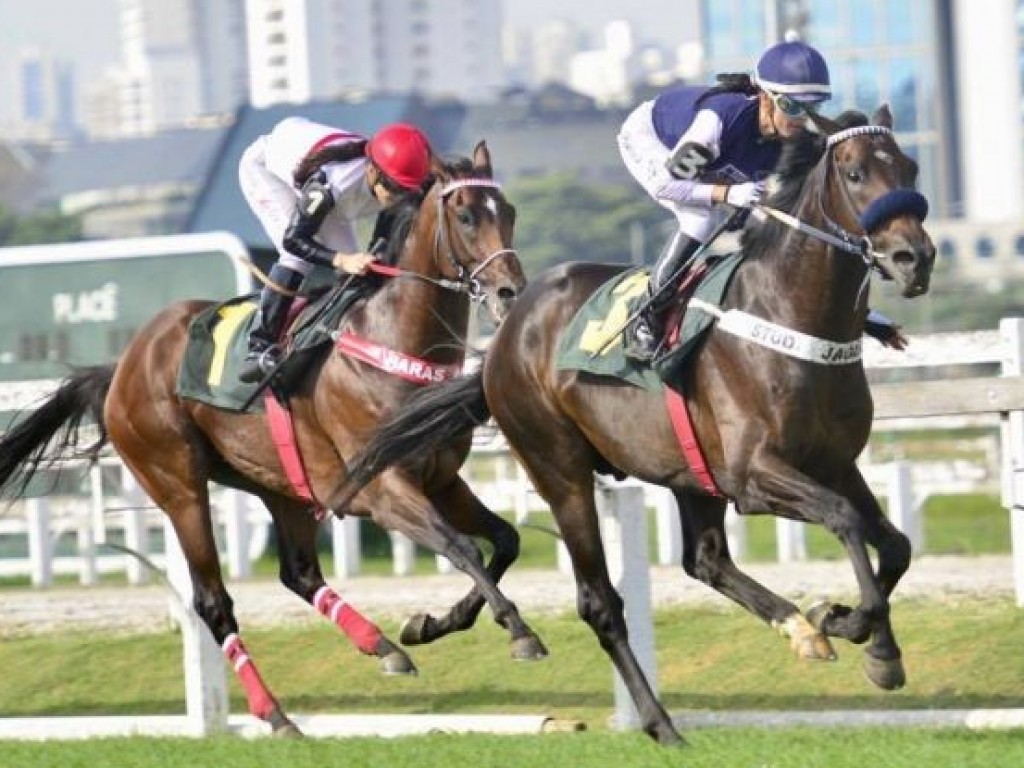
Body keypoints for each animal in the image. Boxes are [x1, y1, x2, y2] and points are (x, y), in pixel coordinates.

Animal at [0, 141, 552, 737]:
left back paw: (382, 647)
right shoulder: (383, 489)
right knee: (213, 602)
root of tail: (122, 365)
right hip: (178, 485)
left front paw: (432, 623)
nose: (510, 291)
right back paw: (275, 714)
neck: (390, 342)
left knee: (300, 574)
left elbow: (503, 541)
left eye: (510, 211)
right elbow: (461, 546)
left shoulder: (443, 481)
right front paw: (519, 631)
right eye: (467, 215)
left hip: (281, 485)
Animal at [325, 105, 937, 741]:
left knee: (706, 561)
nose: (913, 259)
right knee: (600, 602)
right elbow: (845, 520)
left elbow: (894, 544)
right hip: (560, 470)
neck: (789, 318)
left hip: (689, 474)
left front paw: (846, 626)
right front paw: (868, 640)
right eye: (855, 171)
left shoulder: (834, 464)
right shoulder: (754, 476)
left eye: (910, 167)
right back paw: (657, 720)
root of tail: (504, 338)